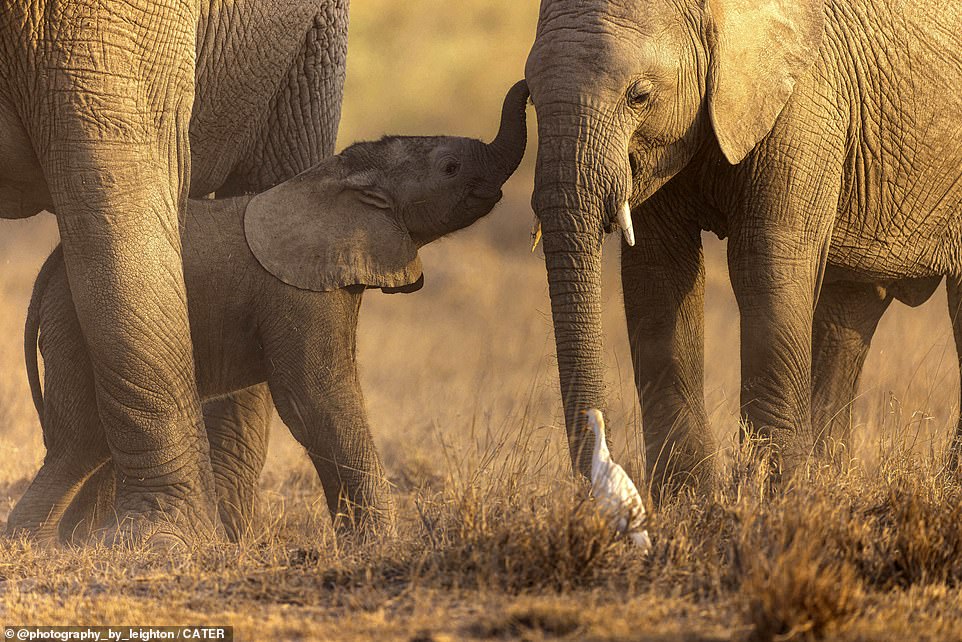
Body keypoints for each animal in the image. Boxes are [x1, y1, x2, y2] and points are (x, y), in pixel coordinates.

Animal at [7, 79, 528, 540]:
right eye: (451, 168)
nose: (526, 84)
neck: (343, 176)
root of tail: (50, 266)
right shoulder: (294, 290)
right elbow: (315, 398)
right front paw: (378, 545)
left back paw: (73, 540)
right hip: (71, 323)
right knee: (81, 442)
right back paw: (37, 545)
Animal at [524, 0, 960, 492]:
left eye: (639, 95)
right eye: (529, 97)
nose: (607, 472)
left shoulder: (808, 106)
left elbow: (765, 265)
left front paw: (777, 493)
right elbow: (657, 276)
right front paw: (688, 497)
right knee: (848, 313)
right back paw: (832, 481)